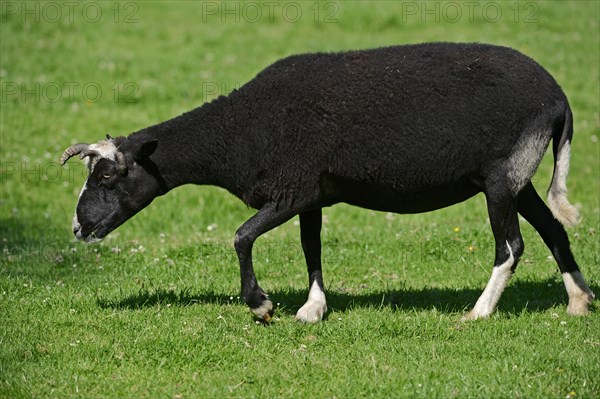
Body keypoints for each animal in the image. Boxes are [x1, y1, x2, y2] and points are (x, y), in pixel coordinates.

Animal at [61, 43, 596, 322]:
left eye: (107, 176)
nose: (78, 229)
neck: (239, 130)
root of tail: (559, 100)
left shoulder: (291, 189)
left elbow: (241, 237)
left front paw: (262, 305)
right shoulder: (311, 194)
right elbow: (310, 246)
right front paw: (312, 308)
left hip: (502, 175)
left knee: (511, 246)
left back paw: (478, 313)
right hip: (517, 177)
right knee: (554, 229)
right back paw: (578, 301)